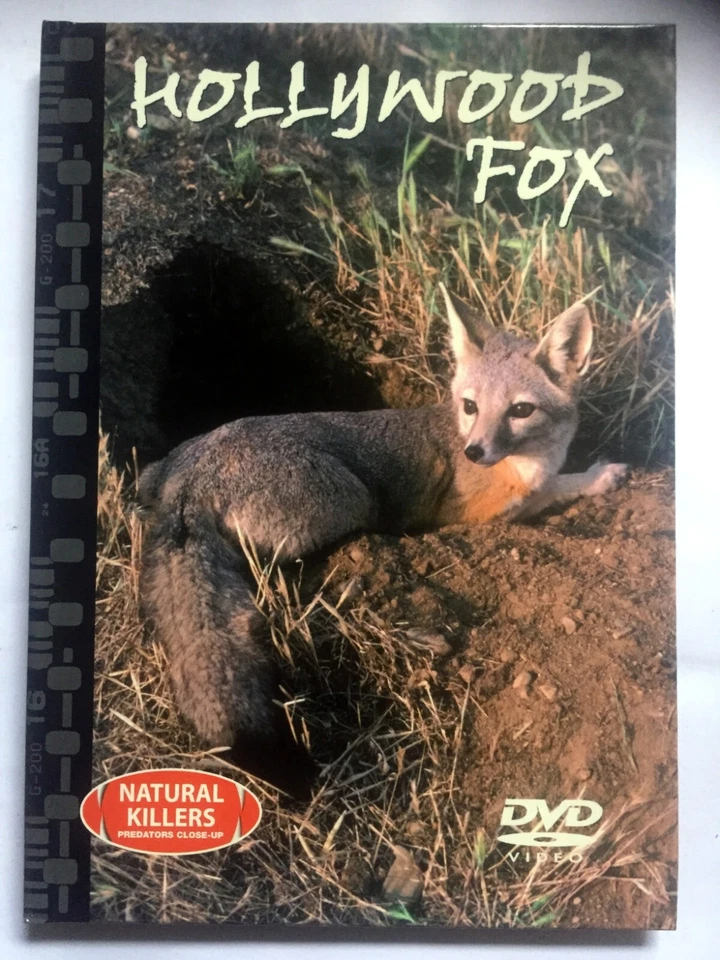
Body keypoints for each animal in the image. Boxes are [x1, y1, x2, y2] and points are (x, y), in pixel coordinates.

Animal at [138, 285, 627, 798]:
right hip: (352, 498)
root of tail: (192, 477)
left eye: (520, 410)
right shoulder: (474, 513)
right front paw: (600, 476)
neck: (530, 458)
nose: (475, 451)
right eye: (470, 406)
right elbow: (552, 488)